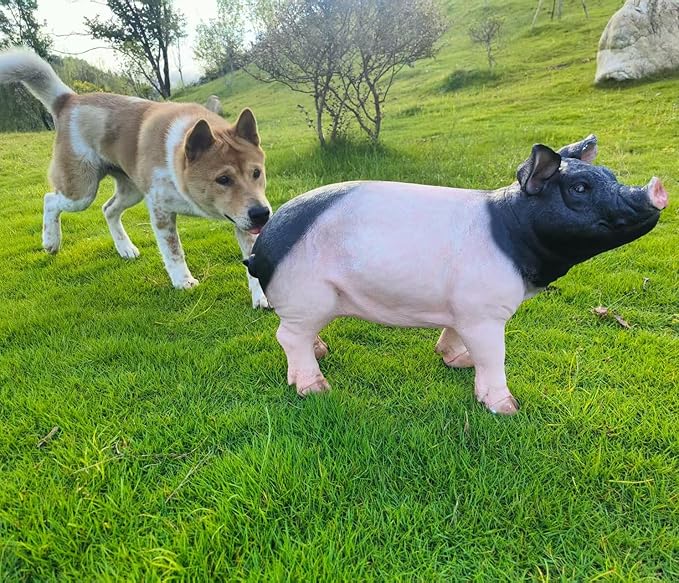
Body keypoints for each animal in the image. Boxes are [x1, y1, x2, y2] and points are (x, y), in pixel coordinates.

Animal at [246, 136, 668, 414]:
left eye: (610, 174)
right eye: (580, 188)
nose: (657, 188)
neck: (513, 231)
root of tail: (261, 249)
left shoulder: (462, 308)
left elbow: (454, 337)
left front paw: (459, 361)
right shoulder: (484, 311)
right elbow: (494, 355)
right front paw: (507, 409)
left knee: (300, 335)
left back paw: (322, 353)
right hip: (307, 294)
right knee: (287, 336)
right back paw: (317, 389)